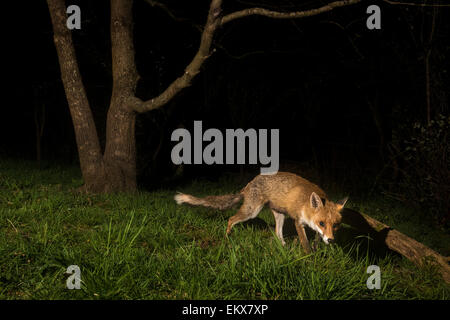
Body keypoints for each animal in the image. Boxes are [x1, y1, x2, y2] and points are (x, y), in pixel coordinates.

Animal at [173, 171, 348, 254]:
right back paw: (228, 236)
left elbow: (317, 240)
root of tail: (249, 183)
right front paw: (309, 258)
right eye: (322, 223)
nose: (331, 240)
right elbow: (305, 242)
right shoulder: (298, 221)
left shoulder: (314, 228)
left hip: (280, 215)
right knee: (231, 219)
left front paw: (316, 251)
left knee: (277, 234)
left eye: (336, 225)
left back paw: (283, 247)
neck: (305, 205)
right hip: (252, 212)